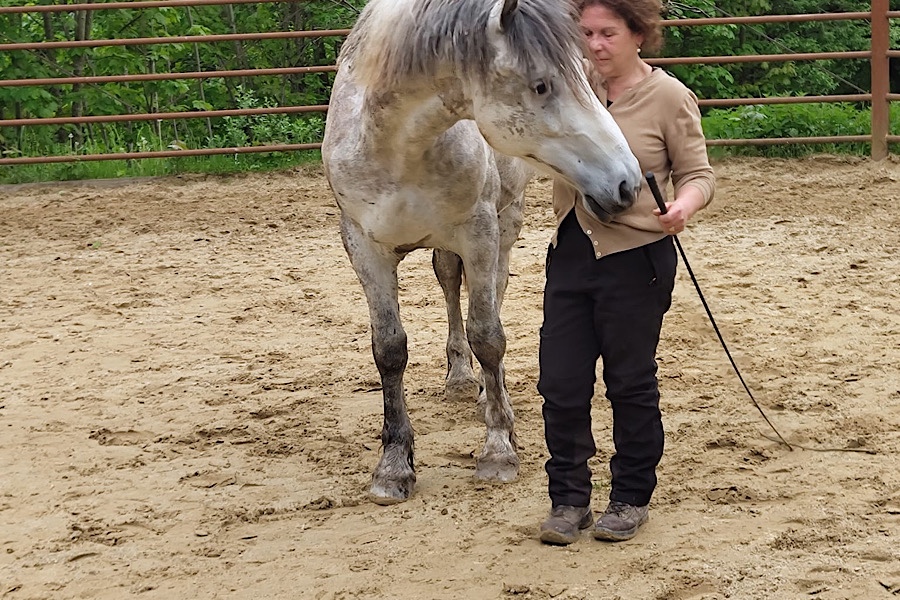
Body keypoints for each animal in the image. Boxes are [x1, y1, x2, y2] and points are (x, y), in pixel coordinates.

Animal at [322, 0, 640, 504]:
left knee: (490, 299)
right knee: (451, 285)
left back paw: (491, 395)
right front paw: (393, 466)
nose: (627, 182)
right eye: (541, 84)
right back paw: (459, 378)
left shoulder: (480, 233)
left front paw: (499, 450)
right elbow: (389, 349)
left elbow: (488, 336)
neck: (397, 147)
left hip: (502, 231)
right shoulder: (363, 246)